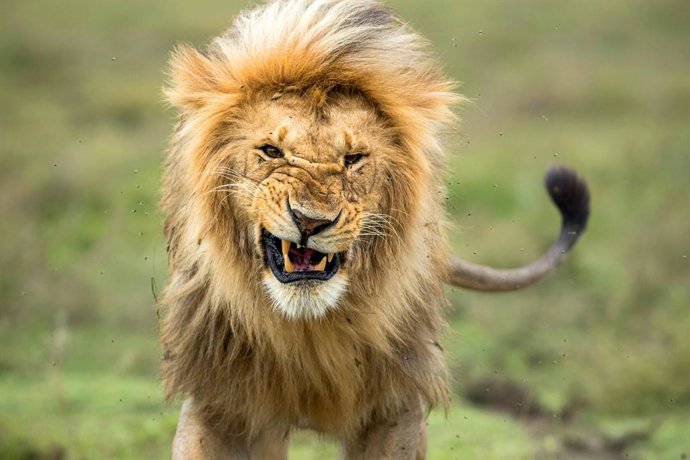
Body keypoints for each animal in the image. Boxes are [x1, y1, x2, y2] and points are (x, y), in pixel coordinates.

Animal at [159, 0, 590, 458]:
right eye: (272, 151)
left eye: (353, 159)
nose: (310, 221)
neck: (307, 332)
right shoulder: (219, 397)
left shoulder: (397, 404)